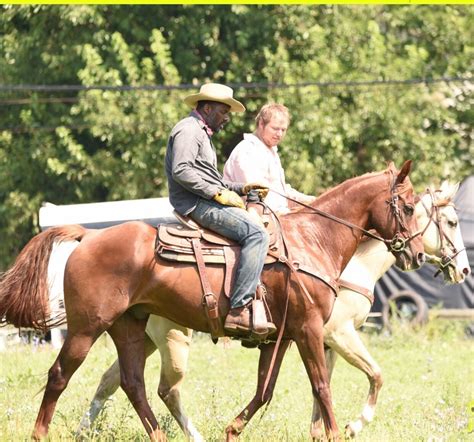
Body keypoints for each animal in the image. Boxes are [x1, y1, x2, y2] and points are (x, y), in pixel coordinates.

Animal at [0, 161, 424, 440]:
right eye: (407, 206)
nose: (417, 255)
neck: (312, 240)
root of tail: (88, 236)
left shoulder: (279, 338)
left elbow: (265, 390)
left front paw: (233, 429)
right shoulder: (310, 330)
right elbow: (321, 385)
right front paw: (337, 432)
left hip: (129, 327)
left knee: (133, 383)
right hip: (87, 328)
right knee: (60, 375)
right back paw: (40, 434)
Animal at [75, 181, 470, 440]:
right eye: (450, 222)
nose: (463, 270)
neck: (317, 243)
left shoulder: (298, 338)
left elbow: (302, 388)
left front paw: (317, 431)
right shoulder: (329, 332)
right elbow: (365, 377)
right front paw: (350, 426)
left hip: (140, 335)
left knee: (115, 381)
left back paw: (84, 429)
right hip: (170, 338)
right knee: (163, 388)